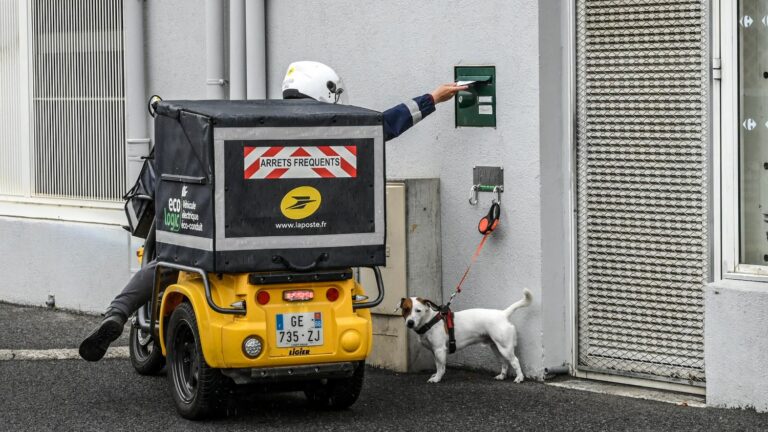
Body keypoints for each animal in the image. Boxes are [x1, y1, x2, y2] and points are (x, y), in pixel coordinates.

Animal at [400, 288, 532, 384]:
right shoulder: (435, 351)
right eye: (405, 309)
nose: (410, 322)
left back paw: (519, 378)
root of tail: (503, 314)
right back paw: (502, 376)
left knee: (515, 361)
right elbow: (437, 365)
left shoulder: (439, 350)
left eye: (418, 310)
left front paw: (437, 378)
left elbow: (441, 367)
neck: (430, 321)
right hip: (496, 347)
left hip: (505, 348)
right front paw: (436, 375)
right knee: (504, 362)